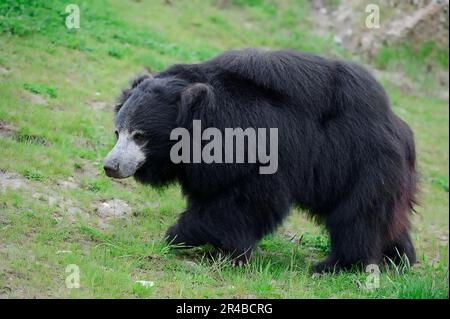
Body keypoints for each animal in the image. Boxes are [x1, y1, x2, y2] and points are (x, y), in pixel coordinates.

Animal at [103, 48, 416, 274]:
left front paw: (184, 237)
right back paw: (400, 260)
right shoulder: (207, 168)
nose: (110, 167)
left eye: (141, 136)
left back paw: (336, 266)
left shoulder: (255, 151)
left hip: (362, 165)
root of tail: (398, 128)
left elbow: (246, 202)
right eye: (118, 132)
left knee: (356, 217)